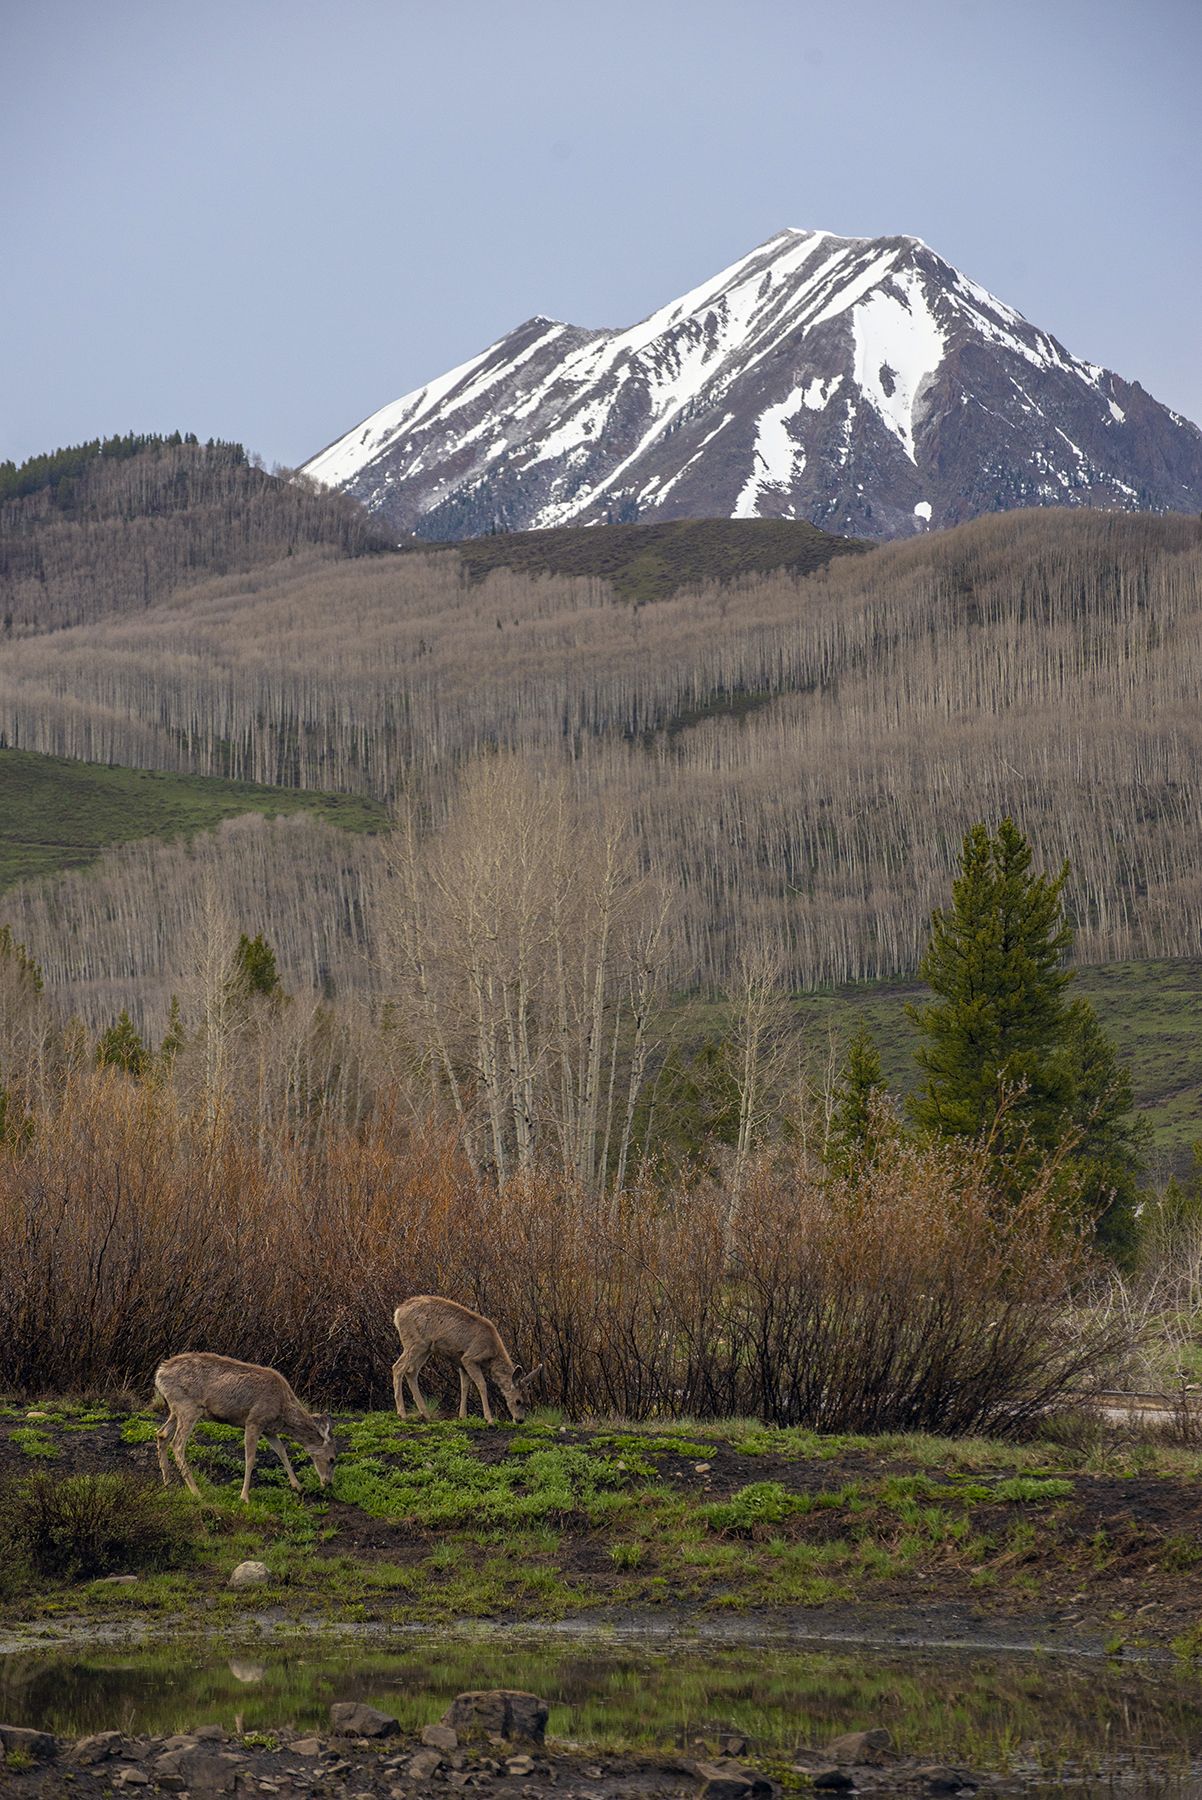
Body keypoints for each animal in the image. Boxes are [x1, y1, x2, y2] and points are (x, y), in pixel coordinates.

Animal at [153, 1352, 336, 1504]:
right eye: (332, 1459)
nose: (328, 1483)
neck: (283, 1411)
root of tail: (159, 1375)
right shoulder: (254, 1420)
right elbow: (250, 1459)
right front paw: (244, 1497)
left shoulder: (269, 1429)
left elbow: (282, 1451)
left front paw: (298, 1486)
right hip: (188, 1407)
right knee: (177, 1444)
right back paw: (196, 1492)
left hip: (175, 1409)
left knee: (162, 1434)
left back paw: (167, 1485)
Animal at [391, 1296, 543, 1425]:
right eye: (518, 1401)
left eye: (528, 1402)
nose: (520, 1420)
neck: (492, 1355)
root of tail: (398, 1313)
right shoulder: (469, 1358)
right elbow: (481, 1384)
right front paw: (489, 1419)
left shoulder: (461, 1363)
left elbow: (465, 1386)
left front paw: (462, 1416)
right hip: (415, 1342)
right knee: (397, 1367)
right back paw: (402, 1414)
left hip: (426, 1348)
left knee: (411, 1372)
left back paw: (426, 1414)